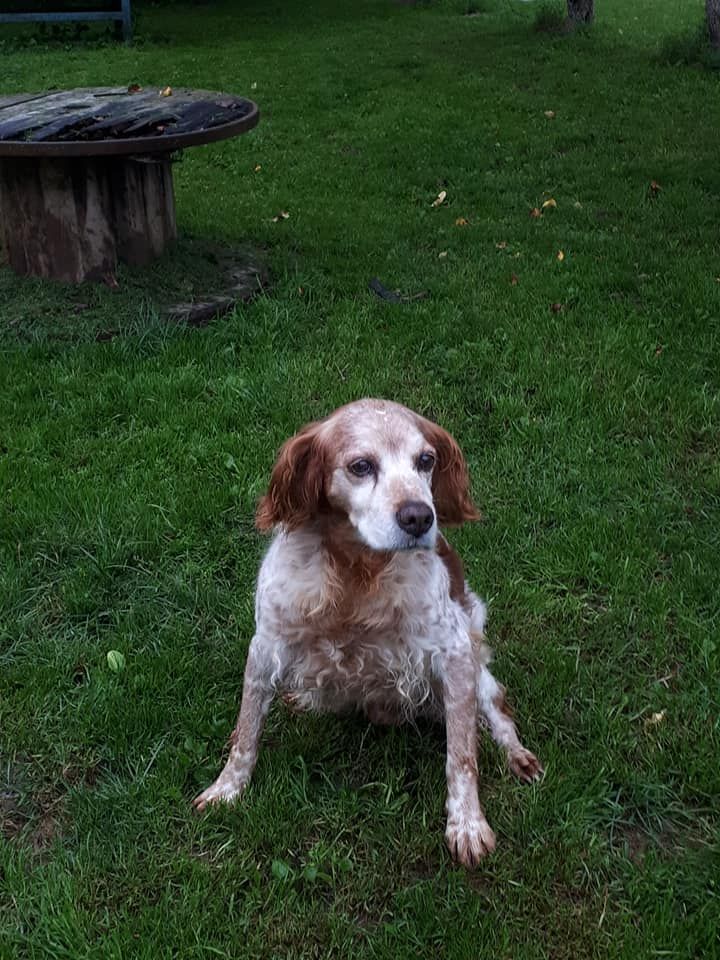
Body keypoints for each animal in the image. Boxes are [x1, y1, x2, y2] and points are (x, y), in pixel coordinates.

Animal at [194, 402, 544, 868]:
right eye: (361, 466)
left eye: (425, 460)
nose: (419, 516)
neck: (357, 567)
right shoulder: (266, 643)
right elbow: (246, 731)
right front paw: (227, 789)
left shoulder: (453, 652)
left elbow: (462, 756)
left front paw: (467, 825)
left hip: (476, 670)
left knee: (497, 714)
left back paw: (517, 756)